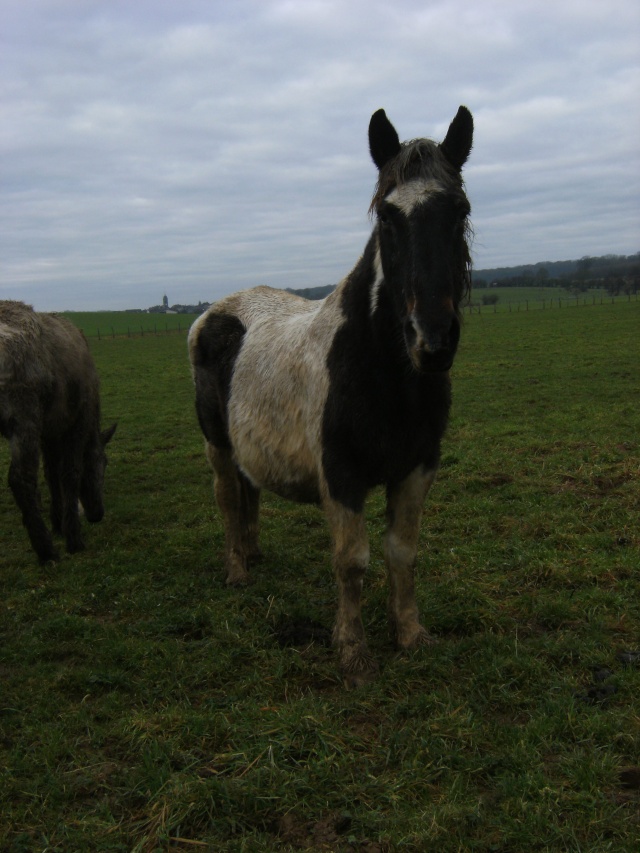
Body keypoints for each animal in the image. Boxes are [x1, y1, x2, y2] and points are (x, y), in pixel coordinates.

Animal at [188, 106, 472, 684]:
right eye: (387, 217)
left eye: (460, 211)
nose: (432, 339)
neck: (383, 371)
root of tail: (212, 315)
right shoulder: (341, 475)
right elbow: (352, 561)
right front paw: (353, 652)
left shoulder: (418, 467)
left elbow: (402, 553)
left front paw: (410, 636)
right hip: (217, 445)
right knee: (227, 497)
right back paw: (237, 569)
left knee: (249, 492)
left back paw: (253, 553)